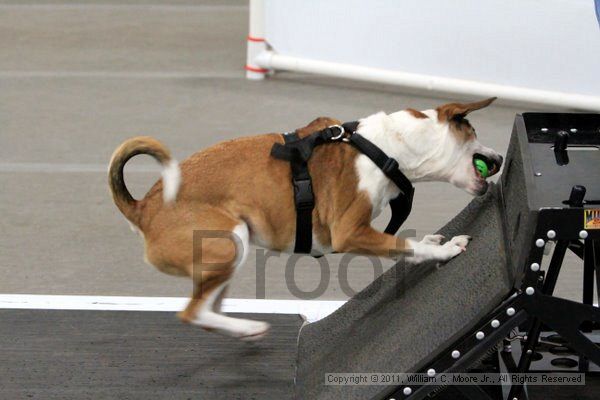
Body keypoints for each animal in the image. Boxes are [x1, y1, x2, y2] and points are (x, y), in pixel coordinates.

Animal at [110, 97, 504, 340]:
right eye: (475, 133)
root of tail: (143, 208)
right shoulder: (350, 232)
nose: (499, 158)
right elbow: (406, 245)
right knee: (193, 312)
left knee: (207, 307)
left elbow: (407, 243)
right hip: (230, 241)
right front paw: (445, 249)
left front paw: (434, 241)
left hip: (226, 253)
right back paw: (247, 328)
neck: (387, 148)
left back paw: (241, 329)